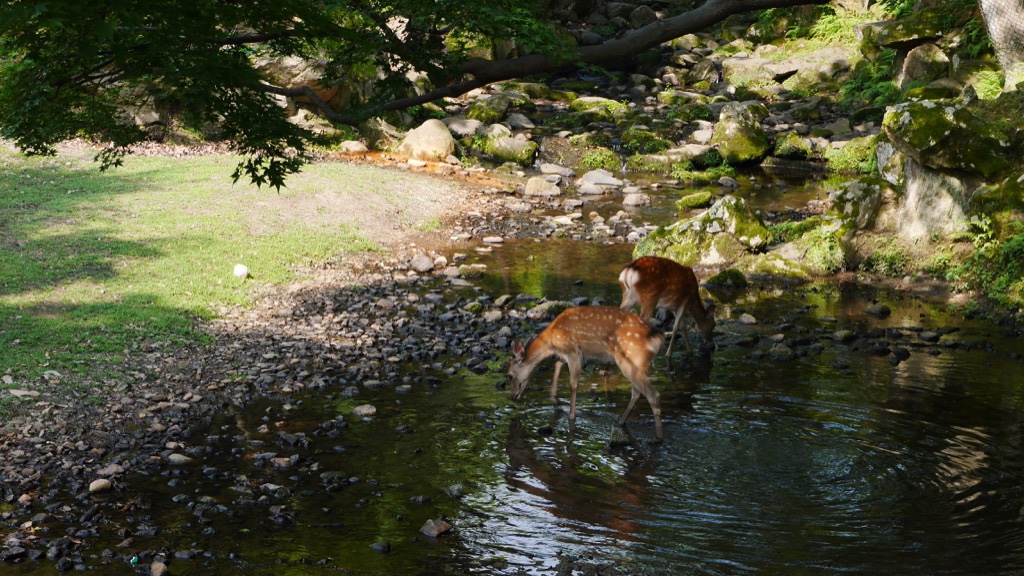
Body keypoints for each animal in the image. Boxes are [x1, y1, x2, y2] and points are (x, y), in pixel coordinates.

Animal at [507, 305, 667, 438]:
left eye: (509, 375)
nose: (513, 396)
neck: (551, 341)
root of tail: (658, 339)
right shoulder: (576, 354)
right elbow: (558, 363)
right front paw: (555, 399)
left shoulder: (572, 350)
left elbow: (573, 384)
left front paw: (571, 416)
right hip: (636, 364)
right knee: (637, 394)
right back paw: (620, 422)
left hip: (631, 359)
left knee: (653, 395)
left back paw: (658, 438)